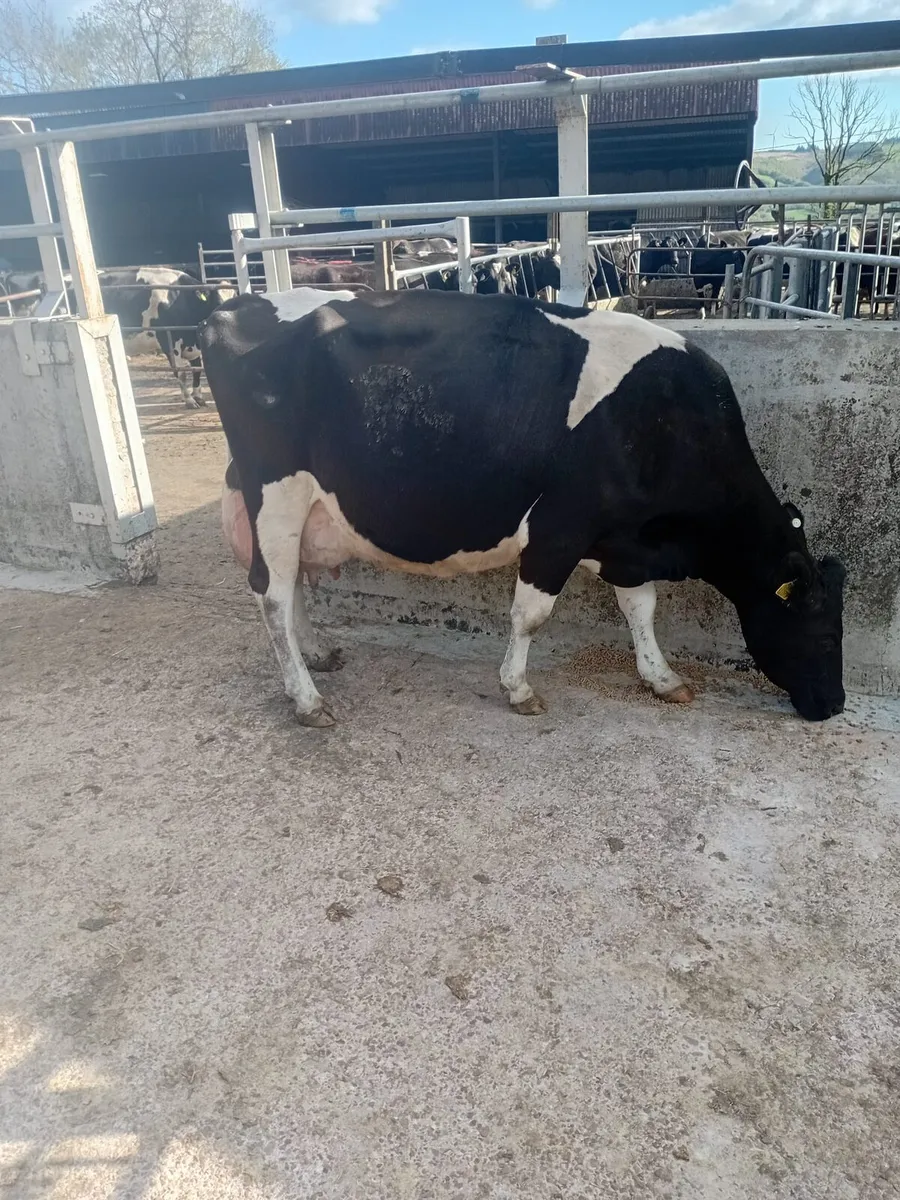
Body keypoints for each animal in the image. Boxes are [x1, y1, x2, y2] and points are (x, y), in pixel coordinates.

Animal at [96, 267, 234, 406]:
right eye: (217, 301)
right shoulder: (169, 342)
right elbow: (181, 372)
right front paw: (189, 400)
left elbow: (196, 369)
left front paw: (198, 397)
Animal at [200, 287, 846, 729]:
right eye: (820, 627)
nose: (836, 704)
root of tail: (238, 306)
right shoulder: (561, 526)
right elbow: (531, 615)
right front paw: (518, 689)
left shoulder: (623, 536)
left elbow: (642, 608)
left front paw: (662, 678)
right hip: (275, 493)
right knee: (270, 593)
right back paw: (307, 698)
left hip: (294, 507)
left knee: (289, 586)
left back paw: (319, 654)